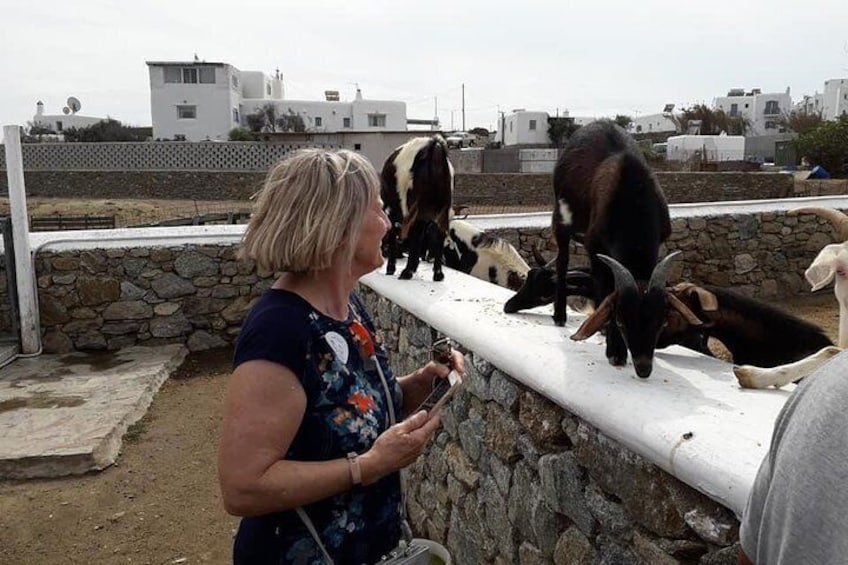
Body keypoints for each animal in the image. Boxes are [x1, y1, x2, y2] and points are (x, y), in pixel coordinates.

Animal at [380, 134, 454, 280]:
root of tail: (435, 147)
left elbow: (395, 233)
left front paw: (392, 267)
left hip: (413, 206)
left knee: (414, 233)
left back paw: (407, 271)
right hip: (442, 209)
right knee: (438, 234)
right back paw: (438, 273)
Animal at [506, 119, 700, 376]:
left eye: (661, 322)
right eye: (622, 320)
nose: (643, 368)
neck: (633, 197)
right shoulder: (595, 246)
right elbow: (606, 287)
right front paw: (615, 351)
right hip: (561, 219)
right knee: (563, 261)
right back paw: (560, 315)